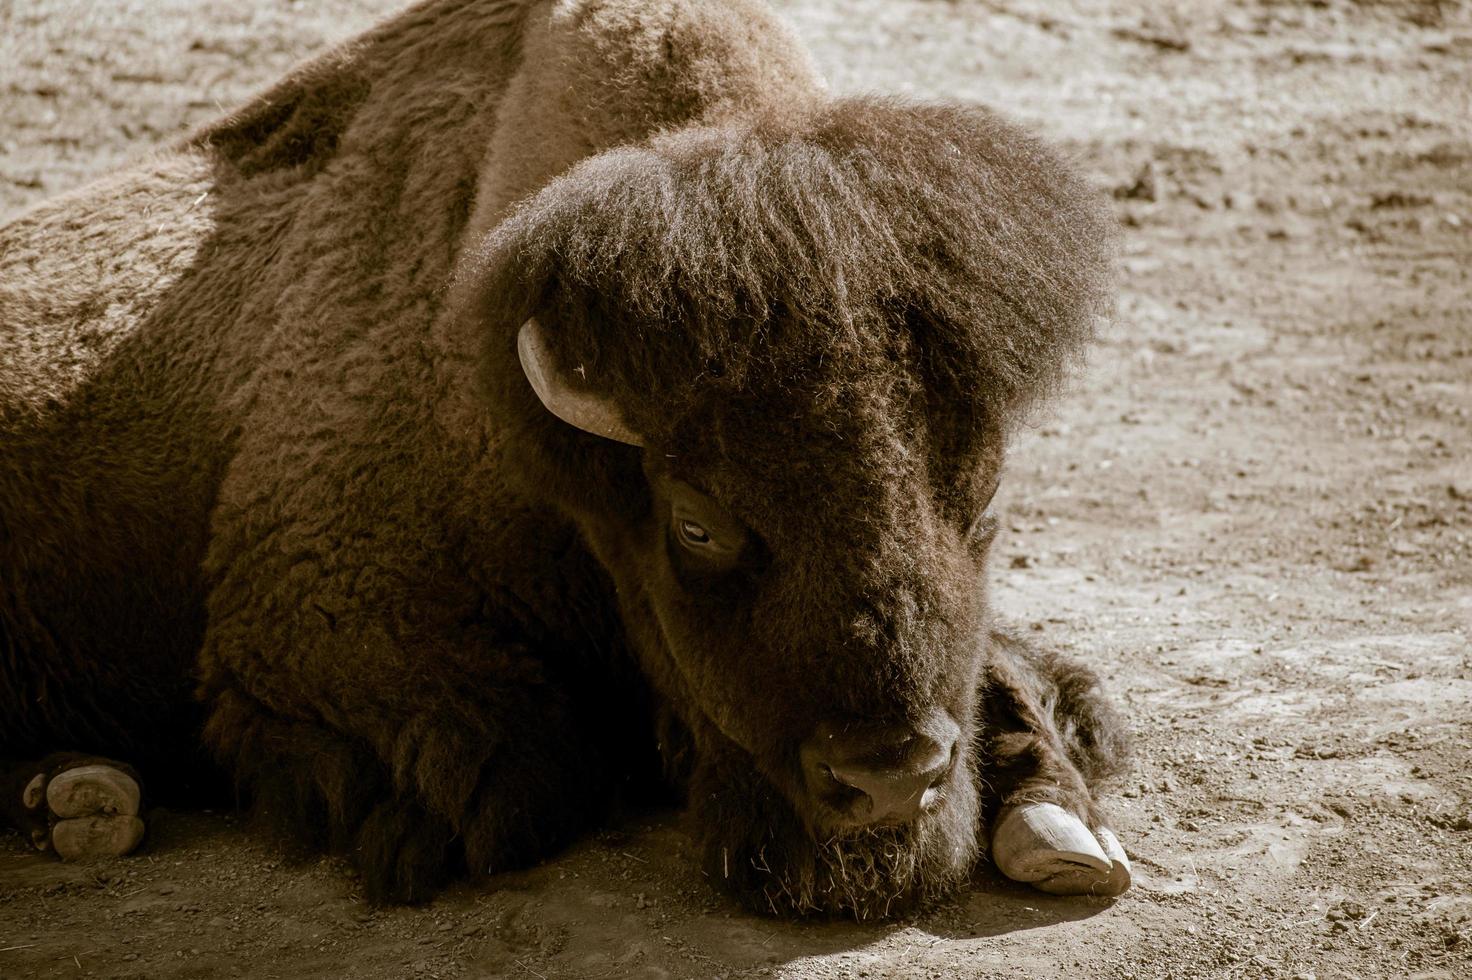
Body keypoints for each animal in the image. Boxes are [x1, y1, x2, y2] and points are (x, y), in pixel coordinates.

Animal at [0, 0, 1130, 918]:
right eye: (695, 521)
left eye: (986, 502)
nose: (888, 779)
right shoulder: (307, 621)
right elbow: (533, 758)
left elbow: (1015, 666)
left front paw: (1059, 825)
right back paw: (78, 800)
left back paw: (83, 794)